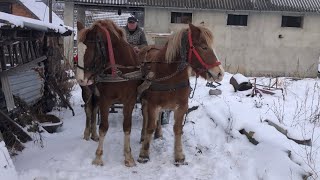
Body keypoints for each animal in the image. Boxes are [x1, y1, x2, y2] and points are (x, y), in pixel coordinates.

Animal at [138, 23, 225, 166]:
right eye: (204, 47)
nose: (220, 73)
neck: (170, 76)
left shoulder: (182, 107)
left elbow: (178, 129)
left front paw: (179, 155)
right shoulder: (152, 105)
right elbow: (150, 126)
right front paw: (144, 153)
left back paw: (159, 133)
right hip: (144, 100)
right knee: (145, 117)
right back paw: (143, 135)